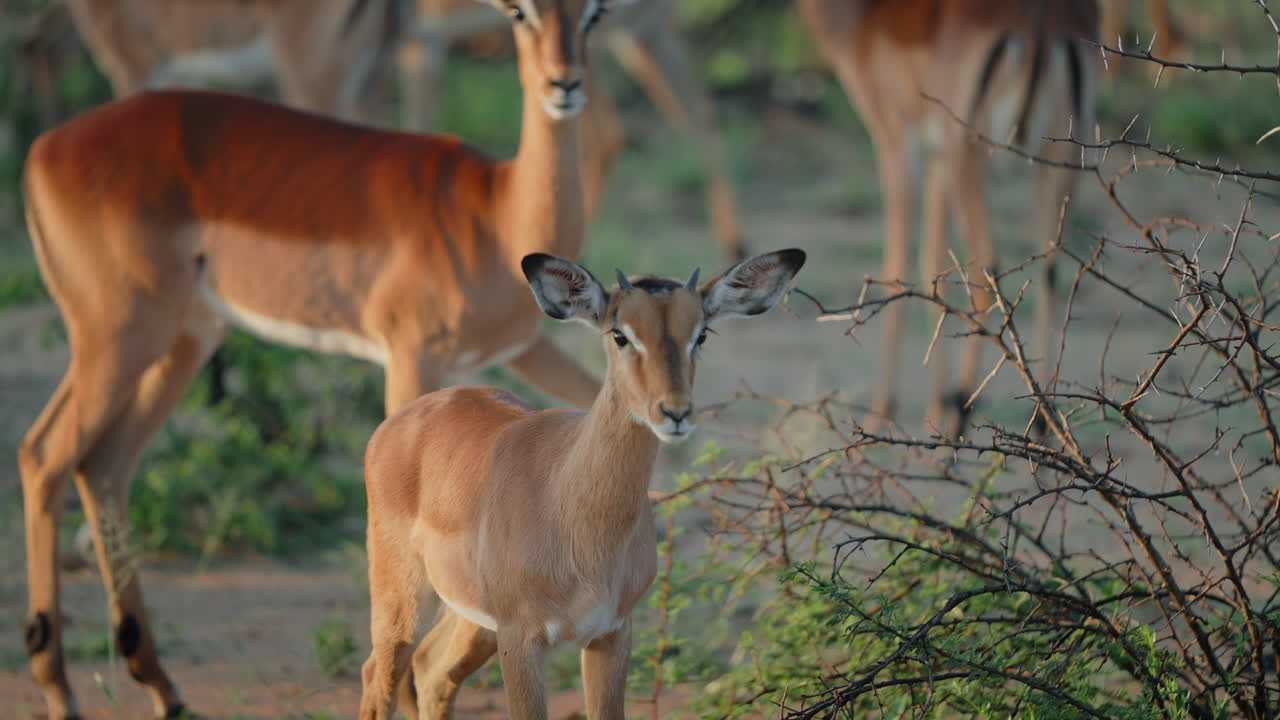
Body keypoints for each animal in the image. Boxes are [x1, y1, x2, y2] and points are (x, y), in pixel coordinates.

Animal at [18, 1, 616, 716]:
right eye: (520, 11)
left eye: (595, 13)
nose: (565, 83)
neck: (496, 212)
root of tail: (44, 148)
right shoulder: (413, 356)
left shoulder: (526, 349)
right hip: (118, 333)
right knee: (45, 455)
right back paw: (59, 688)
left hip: (183, 339)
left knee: (104, 462)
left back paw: (161, 686)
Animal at [359, 248, 805, 719]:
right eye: (620, 334)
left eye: (701, 334)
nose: (675, 412)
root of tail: (404, 419)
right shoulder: (522, 641)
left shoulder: (611, 635)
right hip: (402, 604)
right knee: (378, 679)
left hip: (473, 621)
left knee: (431, 670)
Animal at [796, 0, 1098, 432]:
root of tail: (1042, 20)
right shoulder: (935, 156)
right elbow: (933, 263)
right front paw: (932, 412)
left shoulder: (896, 142)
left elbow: (897, 264)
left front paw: (882, 413)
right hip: (1059, 158)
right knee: (1052, 273)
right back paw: (1042, 424)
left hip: (970, 155)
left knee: (987, 273)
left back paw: (958, 419)